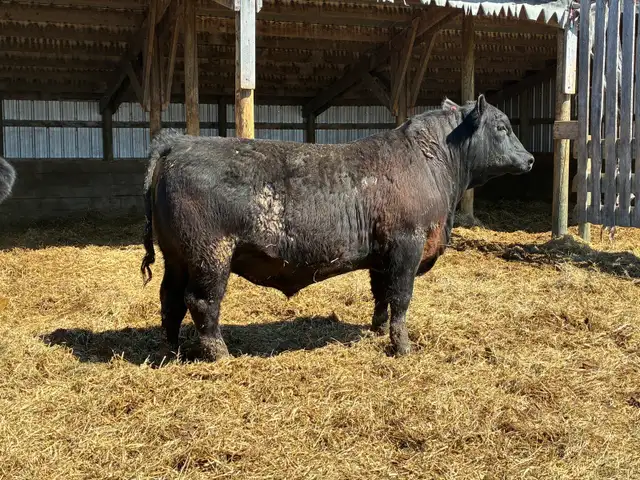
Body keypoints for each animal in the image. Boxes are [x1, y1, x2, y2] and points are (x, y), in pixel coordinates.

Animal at [140, 94, 534, 361]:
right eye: (502, 127)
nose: (530, 158)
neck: (431, 161)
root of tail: (179, 142)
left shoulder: (382, 255)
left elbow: (381, 295)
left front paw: (376, 331)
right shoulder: (407, 245)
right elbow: (401, 297)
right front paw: (403, 346)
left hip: (176, 257)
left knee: (170, 300)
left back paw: (171, 351)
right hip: (210, 256)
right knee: (201, 302)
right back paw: (220, 354)